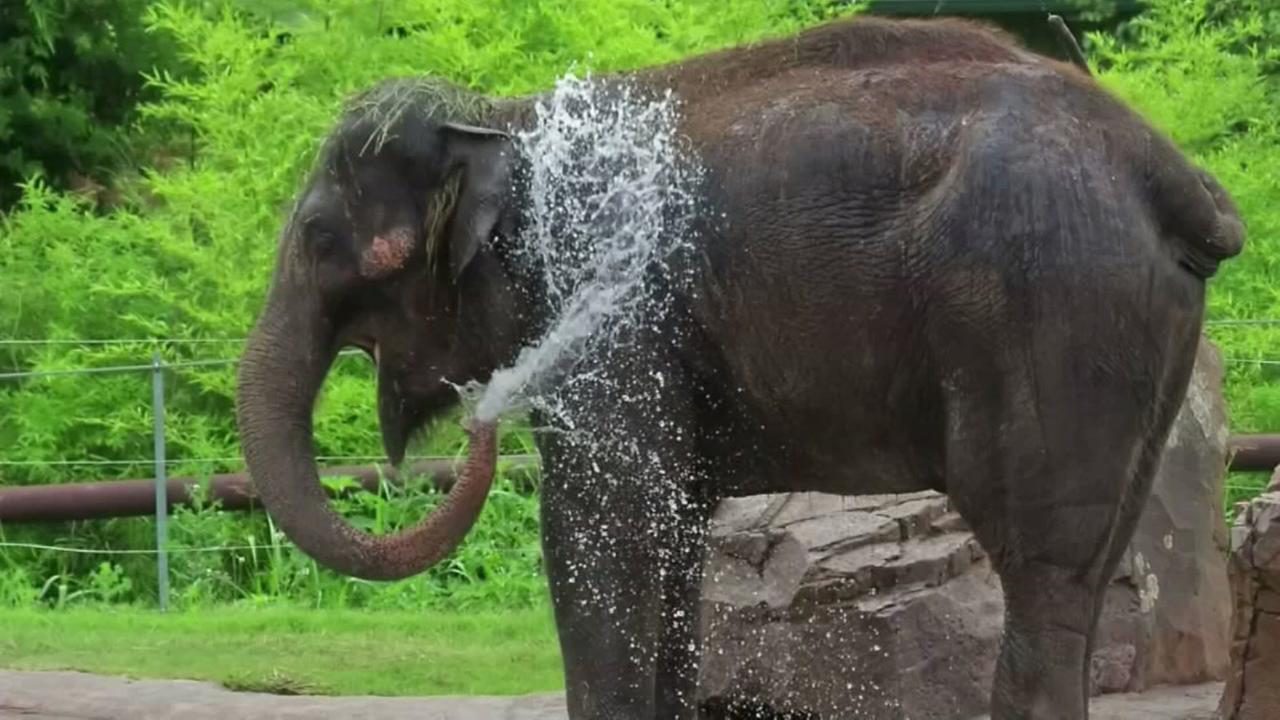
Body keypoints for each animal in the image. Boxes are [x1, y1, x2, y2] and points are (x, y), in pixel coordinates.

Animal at [235, 14, 1245, 720]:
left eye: (321, 241)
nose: (477, 417)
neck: (502, 121)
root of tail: (1170, 168)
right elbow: (673, 534)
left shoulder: (614, 311)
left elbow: (602, 527)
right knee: (1085, 571)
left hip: (1054, 307)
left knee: (1042, 569)